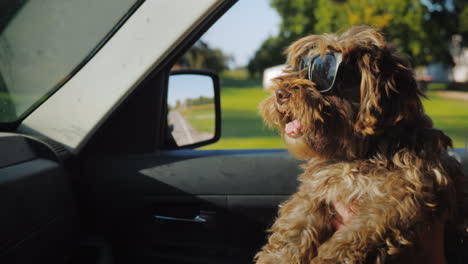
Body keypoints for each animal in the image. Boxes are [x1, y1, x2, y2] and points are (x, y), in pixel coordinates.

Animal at [256, 25, 468, 264]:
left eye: (325, 72)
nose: (280, 94)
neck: (362, 151)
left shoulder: (404, 195)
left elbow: (361, 230)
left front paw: (330, 257)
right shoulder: (317, 190)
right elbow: (295, 225)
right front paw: (277, 256)